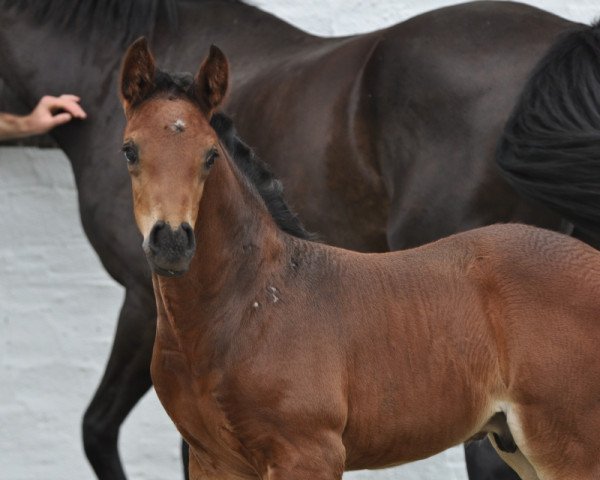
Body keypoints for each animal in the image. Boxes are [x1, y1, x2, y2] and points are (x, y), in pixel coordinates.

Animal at [1, 0, 600, 480]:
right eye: (129, 150)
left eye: (210, 155)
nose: (171, 243)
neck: (250, 304)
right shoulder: (213, 458)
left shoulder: (306, 454)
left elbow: (98, 428)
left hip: (567, 445)